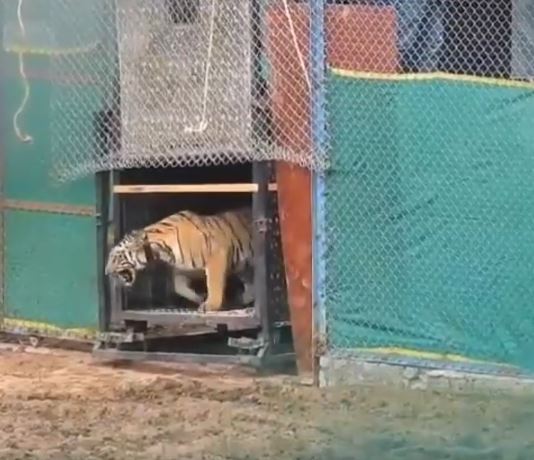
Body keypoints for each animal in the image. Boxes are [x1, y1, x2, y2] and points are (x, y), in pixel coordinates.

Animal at [105, 208, 256, 312]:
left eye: (115, 257)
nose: (106, 272)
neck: (160, 251)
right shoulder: (183, 269)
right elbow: (178, 287)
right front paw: (200, 298)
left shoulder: (216, 254)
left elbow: (213, 283)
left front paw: (210, 305)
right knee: (250, 285)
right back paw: (242, 300)